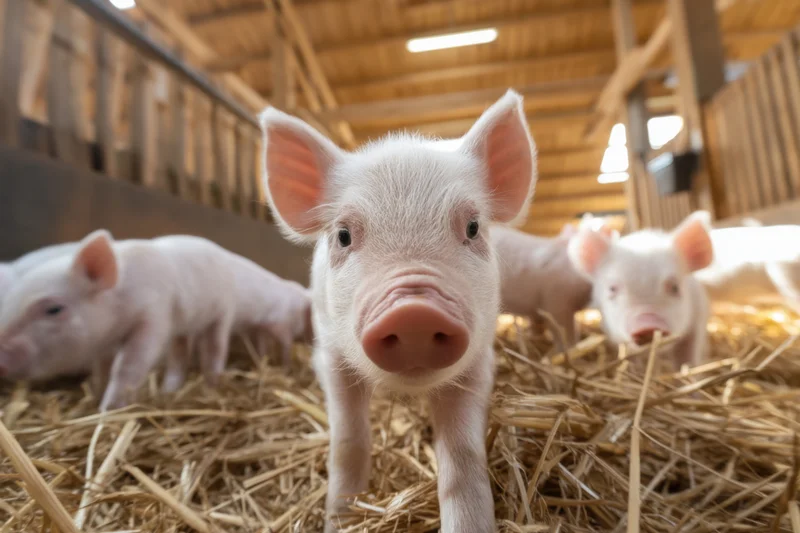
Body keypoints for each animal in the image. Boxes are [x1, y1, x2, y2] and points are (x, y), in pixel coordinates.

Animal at [259, 90, 537, 532]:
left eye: (473, 227)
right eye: (343, 235)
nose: (414, 312)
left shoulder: (479, 361)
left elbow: (462, 453)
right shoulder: (330, 355)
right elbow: (349, 441)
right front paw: (339, 519)